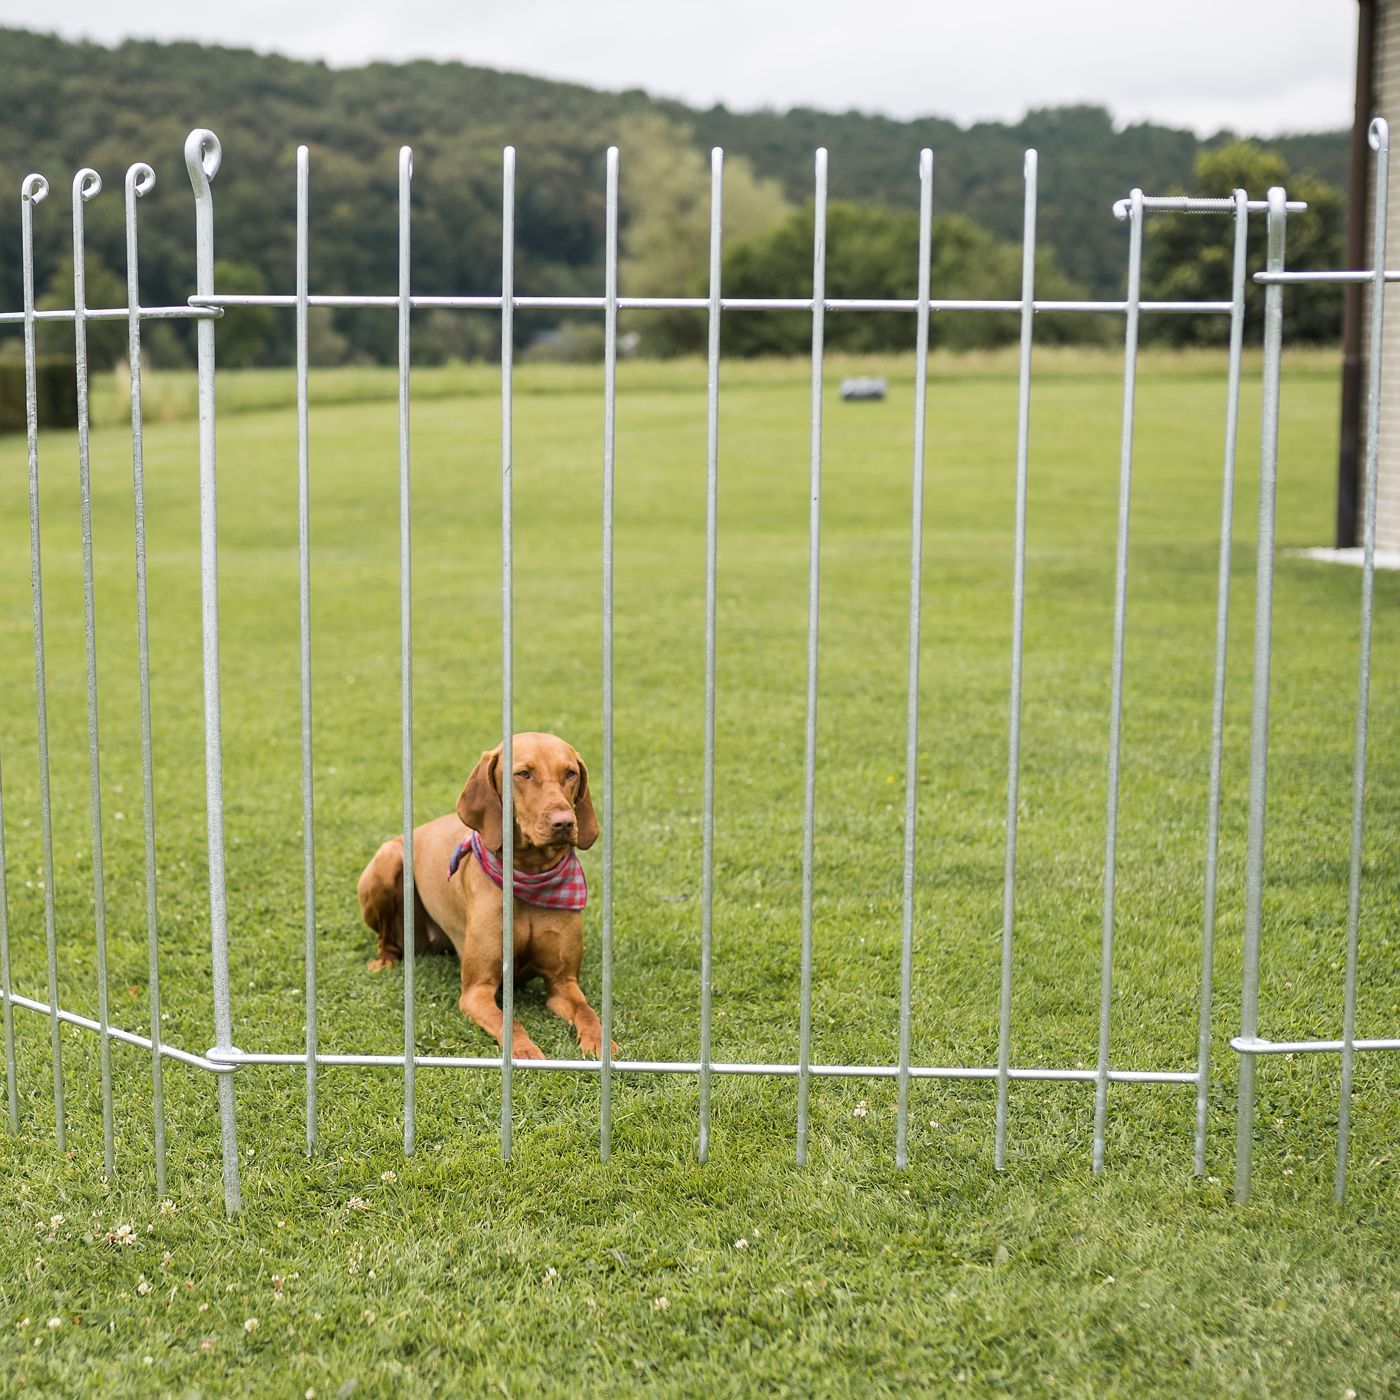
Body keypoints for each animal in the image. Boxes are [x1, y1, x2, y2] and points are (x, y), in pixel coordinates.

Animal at [355, 733, 613, 1058]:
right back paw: (384, 962)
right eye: (523, 774)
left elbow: (587, 1011)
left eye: (570, 773)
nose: (565, 822)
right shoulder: (477, 990)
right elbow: (509, 1023)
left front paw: (600, 1042)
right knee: (385, 940)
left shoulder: (562, 982)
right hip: (388, 859)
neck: (529, 874)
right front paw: (524, 1051)